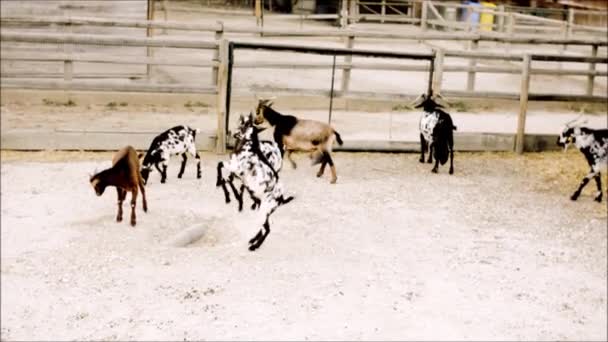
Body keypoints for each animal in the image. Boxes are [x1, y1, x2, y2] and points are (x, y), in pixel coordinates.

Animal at [218, 113, 294, 250]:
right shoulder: (236, 173)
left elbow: (221, 167)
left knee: (267, 229)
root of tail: (280, 198)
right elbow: (227, 178)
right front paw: (229, 196)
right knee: (264, 227)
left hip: (263, 211)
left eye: (246, 123)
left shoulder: (235, 168)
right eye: (243, 122)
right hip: (265, 212)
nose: (246, 116)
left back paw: (254, 246)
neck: (249, 146)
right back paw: (252, 240)